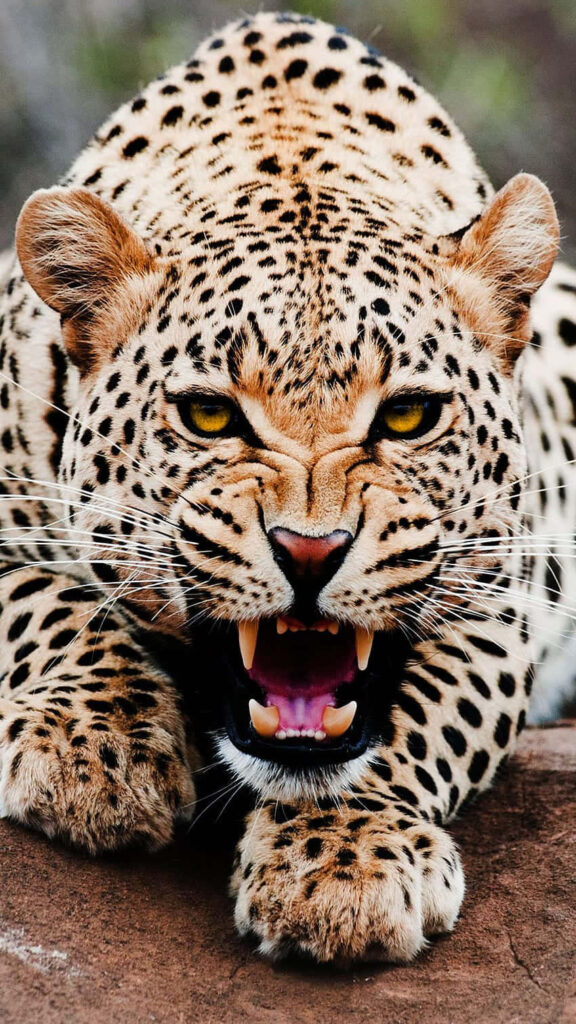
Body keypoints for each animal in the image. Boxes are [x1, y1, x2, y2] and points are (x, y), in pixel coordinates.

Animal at [0, 10, 574, 965]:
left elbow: (419, 715)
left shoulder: (510, 586)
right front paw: (97, 751)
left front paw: (342, 863)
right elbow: (43, 602)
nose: (310, 552)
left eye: (409, 417)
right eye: (208, 416)